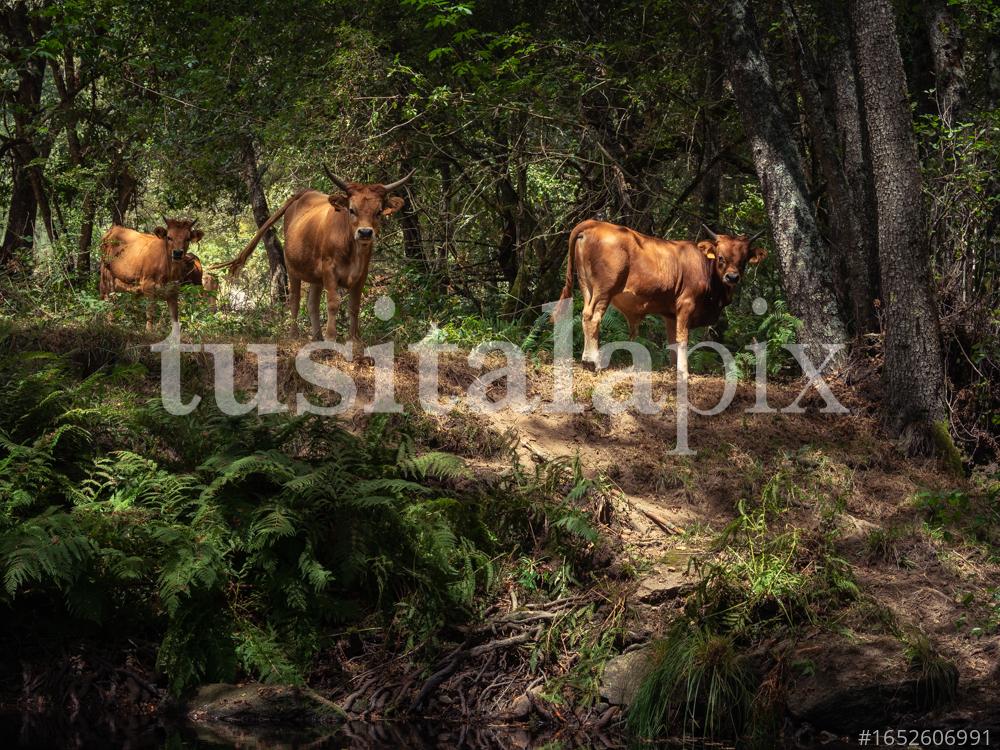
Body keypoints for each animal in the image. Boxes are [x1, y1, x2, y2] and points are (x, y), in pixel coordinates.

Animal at [214, 170, 410, 344]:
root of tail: (305, 193)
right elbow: (333, 302)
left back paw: (316, 337)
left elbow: (354, 306)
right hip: (292, 269)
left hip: (316, 276)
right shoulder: (330, 270)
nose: (365, 232)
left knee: (312, 304)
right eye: (352, 210)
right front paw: (331, 337)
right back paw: (294, 335)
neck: (353, 249)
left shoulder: (362, 274)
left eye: (379, 211)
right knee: (295, 300)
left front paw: (354, 339)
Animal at [556, 220, 764, 378]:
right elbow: (682, 338)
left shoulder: (671, 313)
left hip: (586, 287)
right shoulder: (686, 304)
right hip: (603, 290)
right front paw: (683, 372)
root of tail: (595, 223)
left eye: (743, 260)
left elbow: (672, 340)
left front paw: (673, 369)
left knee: (584, 315)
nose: (732, 277)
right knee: (593, 318)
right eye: (721, 257)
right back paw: (593, 362)